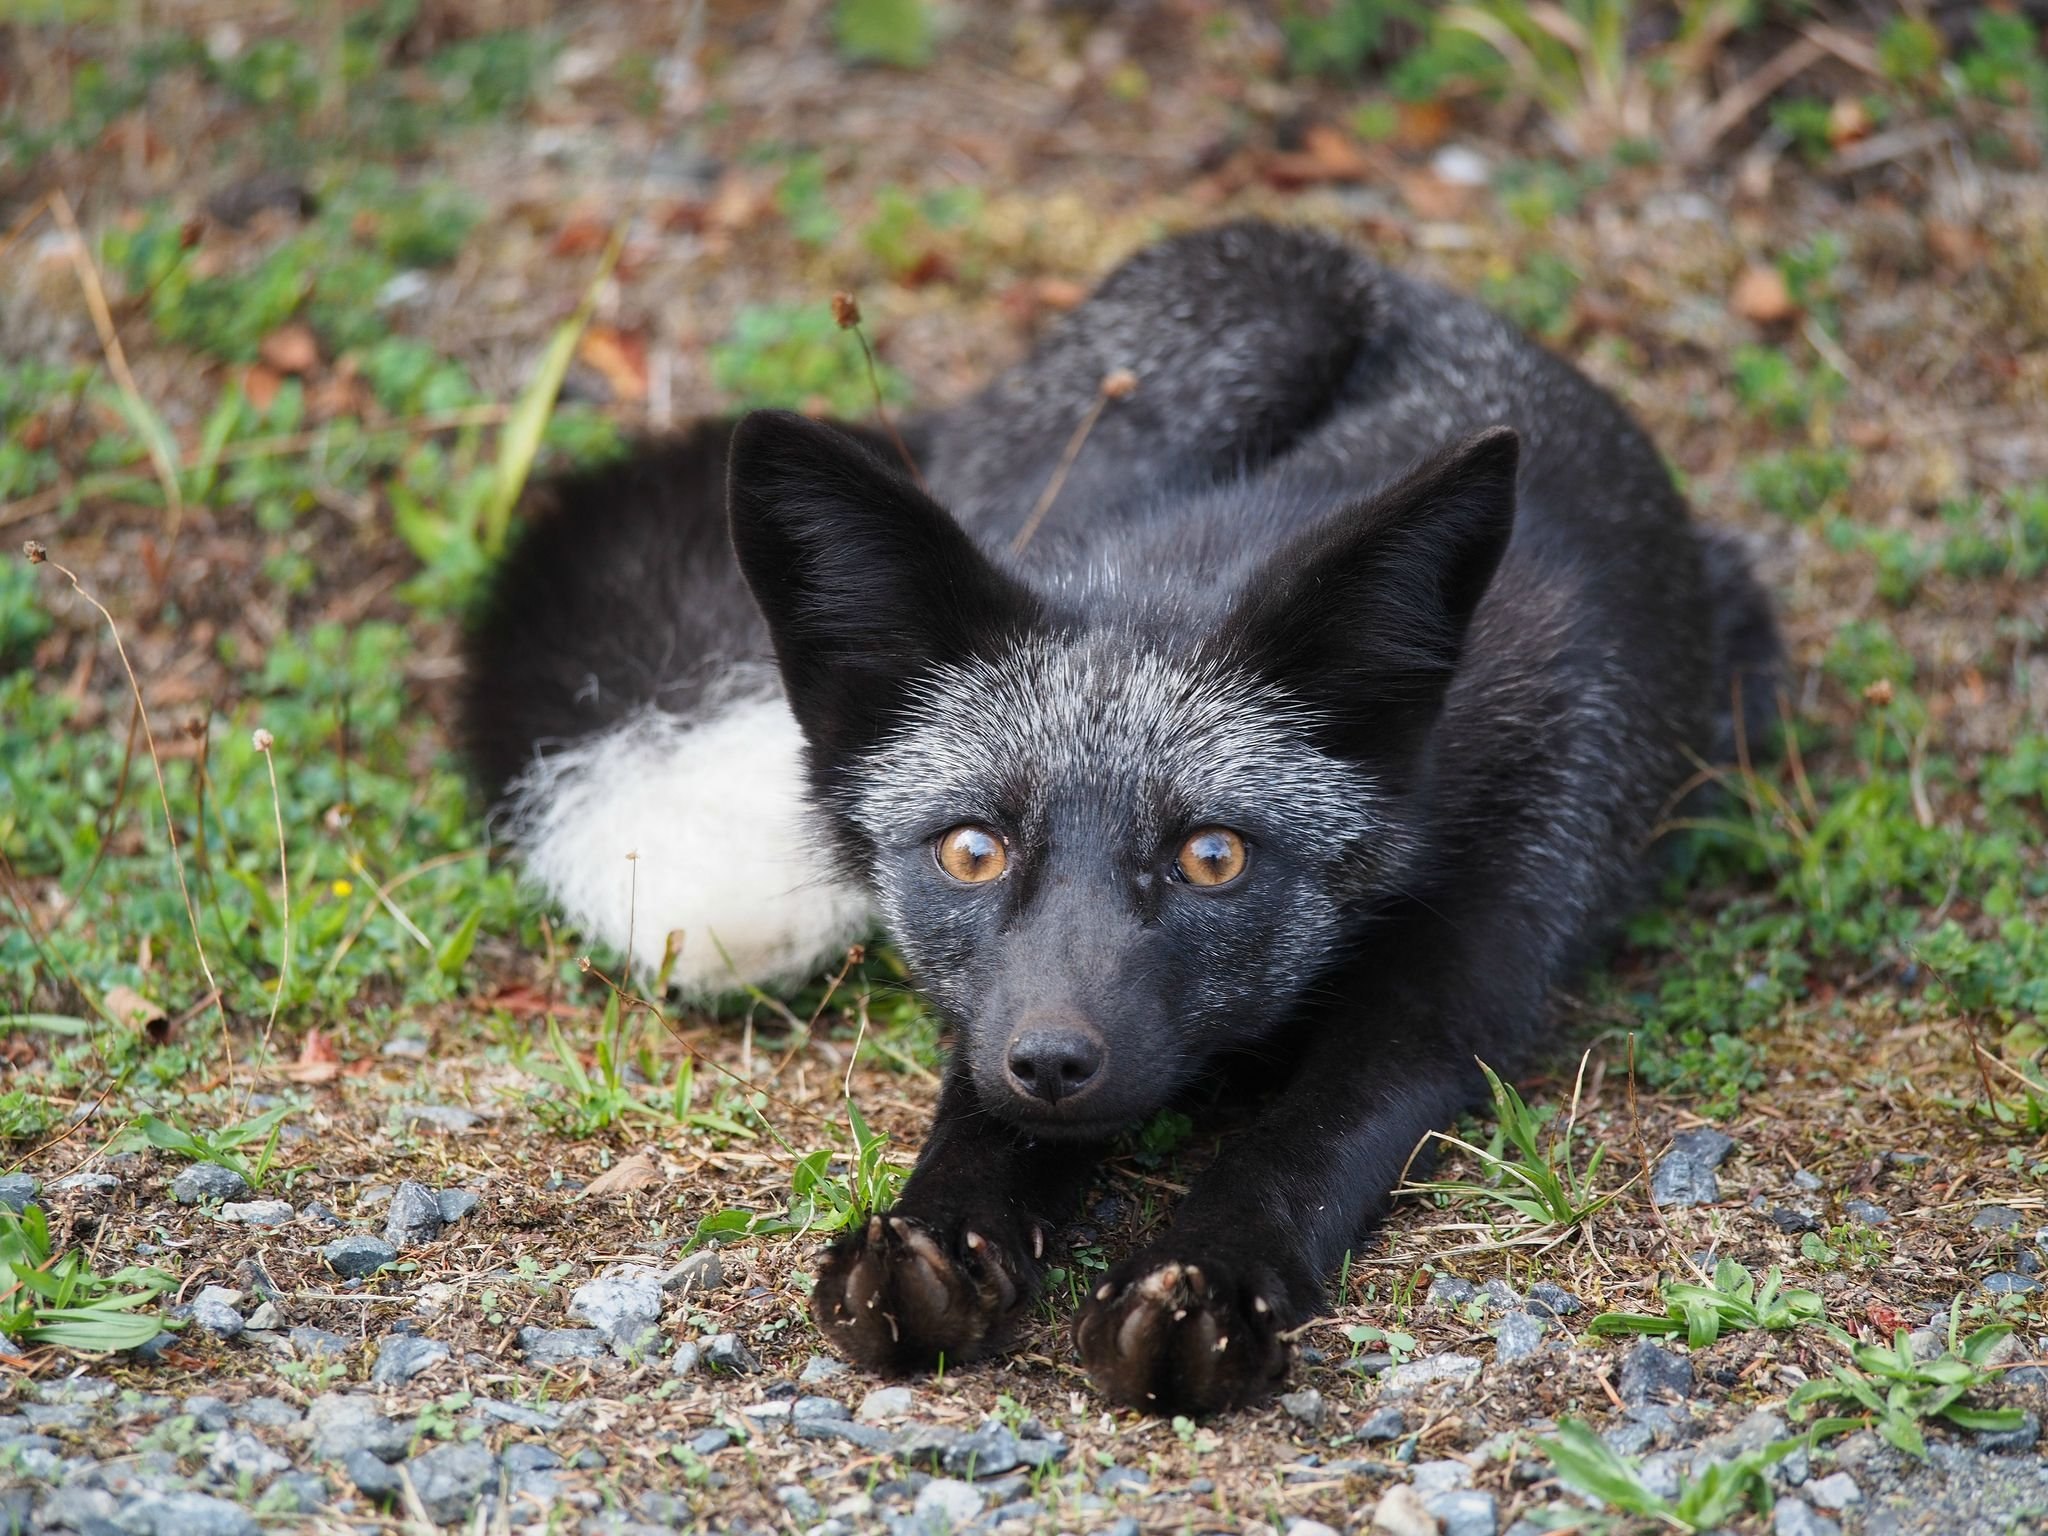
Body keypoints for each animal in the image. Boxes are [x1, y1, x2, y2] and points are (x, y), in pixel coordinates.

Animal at [464, 219, 1777, 1417]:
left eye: (1212, 857)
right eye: (972, 851)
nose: (1053, 1061)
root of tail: (1418, 281)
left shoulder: (1466, 977)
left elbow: (1304, 1140)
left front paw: (1209, 1282)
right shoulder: (996, 1025)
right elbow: (974, 1112)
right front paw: (936, 1237)